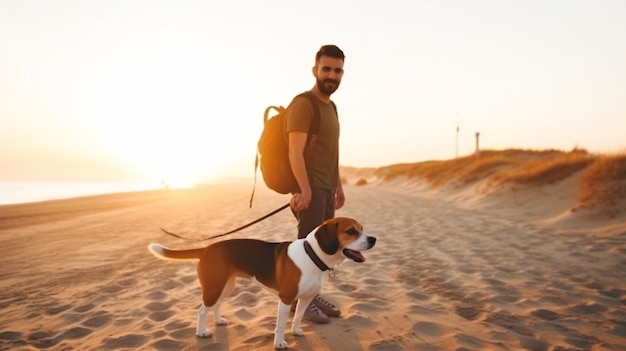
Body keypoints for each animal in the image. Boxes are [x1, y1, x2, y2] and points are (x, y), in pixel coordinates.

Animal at [147, 217, 376, 350]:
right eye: (350, 231)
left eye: (362, 228)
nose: (373, 239)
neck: (312, 255)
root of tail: (207, 249)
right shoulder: (286, 299)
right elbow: (281, 324)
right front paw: (280, 343)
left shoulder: (306, 298)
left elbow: (298, 317)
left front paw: (296, 331)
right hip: (214, 287)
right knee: (202, 310)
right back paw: (201, 332)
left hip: (226, 286)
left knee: (216, 306)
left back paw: (219, 320)